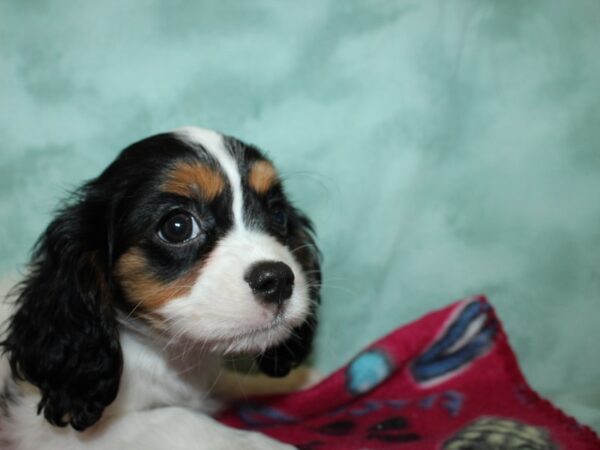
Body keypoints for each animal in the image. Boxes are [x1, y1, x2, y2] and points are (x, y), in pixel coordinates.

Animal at [0, 127, 324, 450]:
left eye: (278, 215)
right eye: (178, 226)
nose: (278, 280)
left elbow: (229, 381)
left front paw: (302, 379)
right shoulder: (49, 433)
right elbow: (179, 418)